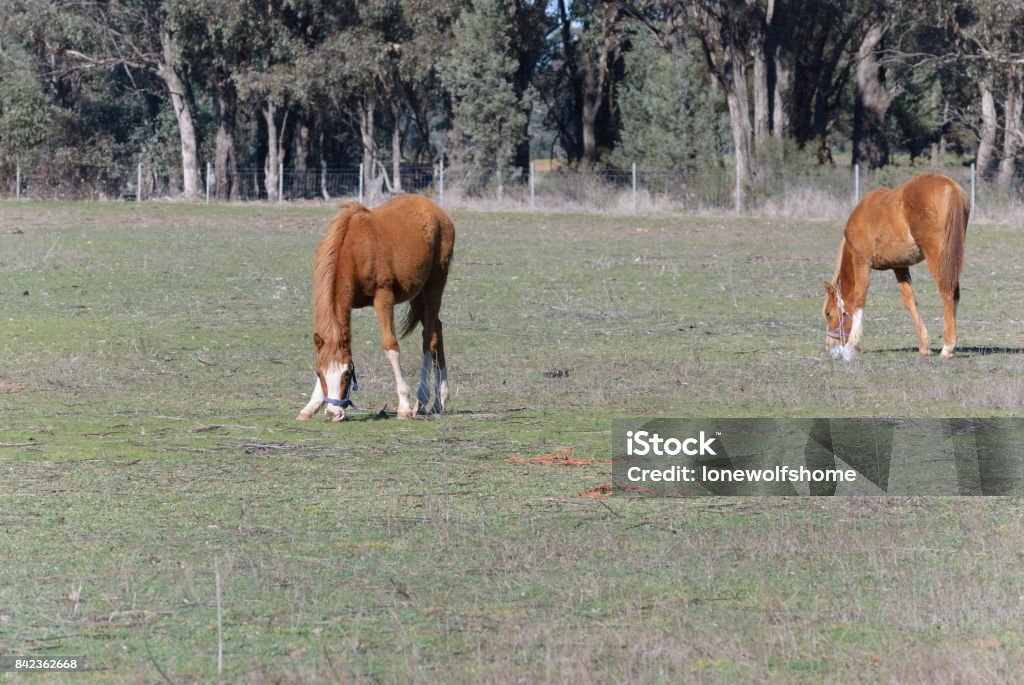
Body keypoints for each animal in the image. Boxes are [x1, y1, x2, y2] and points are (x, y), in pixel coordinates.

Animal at [296, 194, 456, 419]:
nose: (333, 413)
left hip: (435, 284)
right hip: (417, 294)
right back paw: (438, 401)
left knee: (428, 339)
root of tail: (435, 209)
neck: (352, 250)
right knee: (436, 329)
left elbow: (391, 346)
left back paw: (422, 399)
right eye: (319, 373)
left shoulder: (383, 297)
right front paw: (311, 405)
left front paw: (404, 405)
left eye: (347, 374)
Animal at [823, 172, 966, 358]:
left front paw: (851, 347)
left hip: (939, 259)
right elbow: (910, 301)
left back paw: (947, 347)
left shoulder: (861, 261)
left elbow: (859, 299)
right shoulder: (899, 266)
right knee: (954, 294)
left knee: (947, 293)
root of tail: (950, 185)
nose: (829, 348)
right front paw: (924, 346)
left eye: (828, 313)